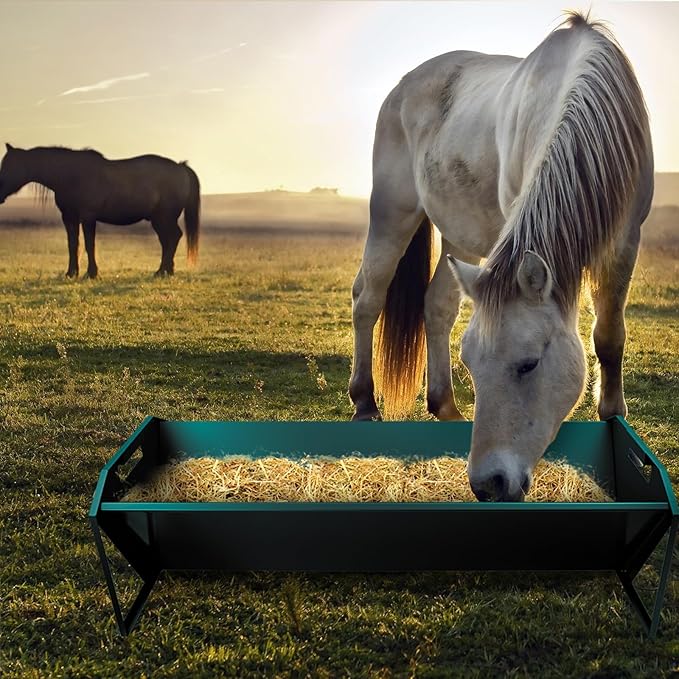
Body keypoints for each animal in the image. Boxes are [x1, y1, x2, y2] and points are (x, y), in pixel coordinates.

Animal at [0, 145, 200, 278]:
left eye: (9, 167)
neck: (72, 175)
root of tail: (180, 166)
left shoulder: (88, 217)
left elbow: (90, 245)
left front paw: (91, 273)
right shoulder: (69, 217)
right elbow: (73, 244)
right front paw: (71, 273)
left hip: (164, 217)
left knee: (172, 238)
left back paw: (161, 271)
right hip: (159, 219)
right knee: (168, 240)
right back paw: (167, 270)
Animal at [349, 12, 653, 501]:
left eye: (528, 364)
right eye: (472, 364)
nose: (488, 483)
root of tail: (403, 86)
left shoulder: (625, 240)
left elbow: (609, 336)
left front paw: (613, 416)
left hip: (459, 239)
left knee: (437, 306)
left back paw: (446, 406)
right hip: (392, 213)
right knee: (368, 297)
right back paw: (364, 402)